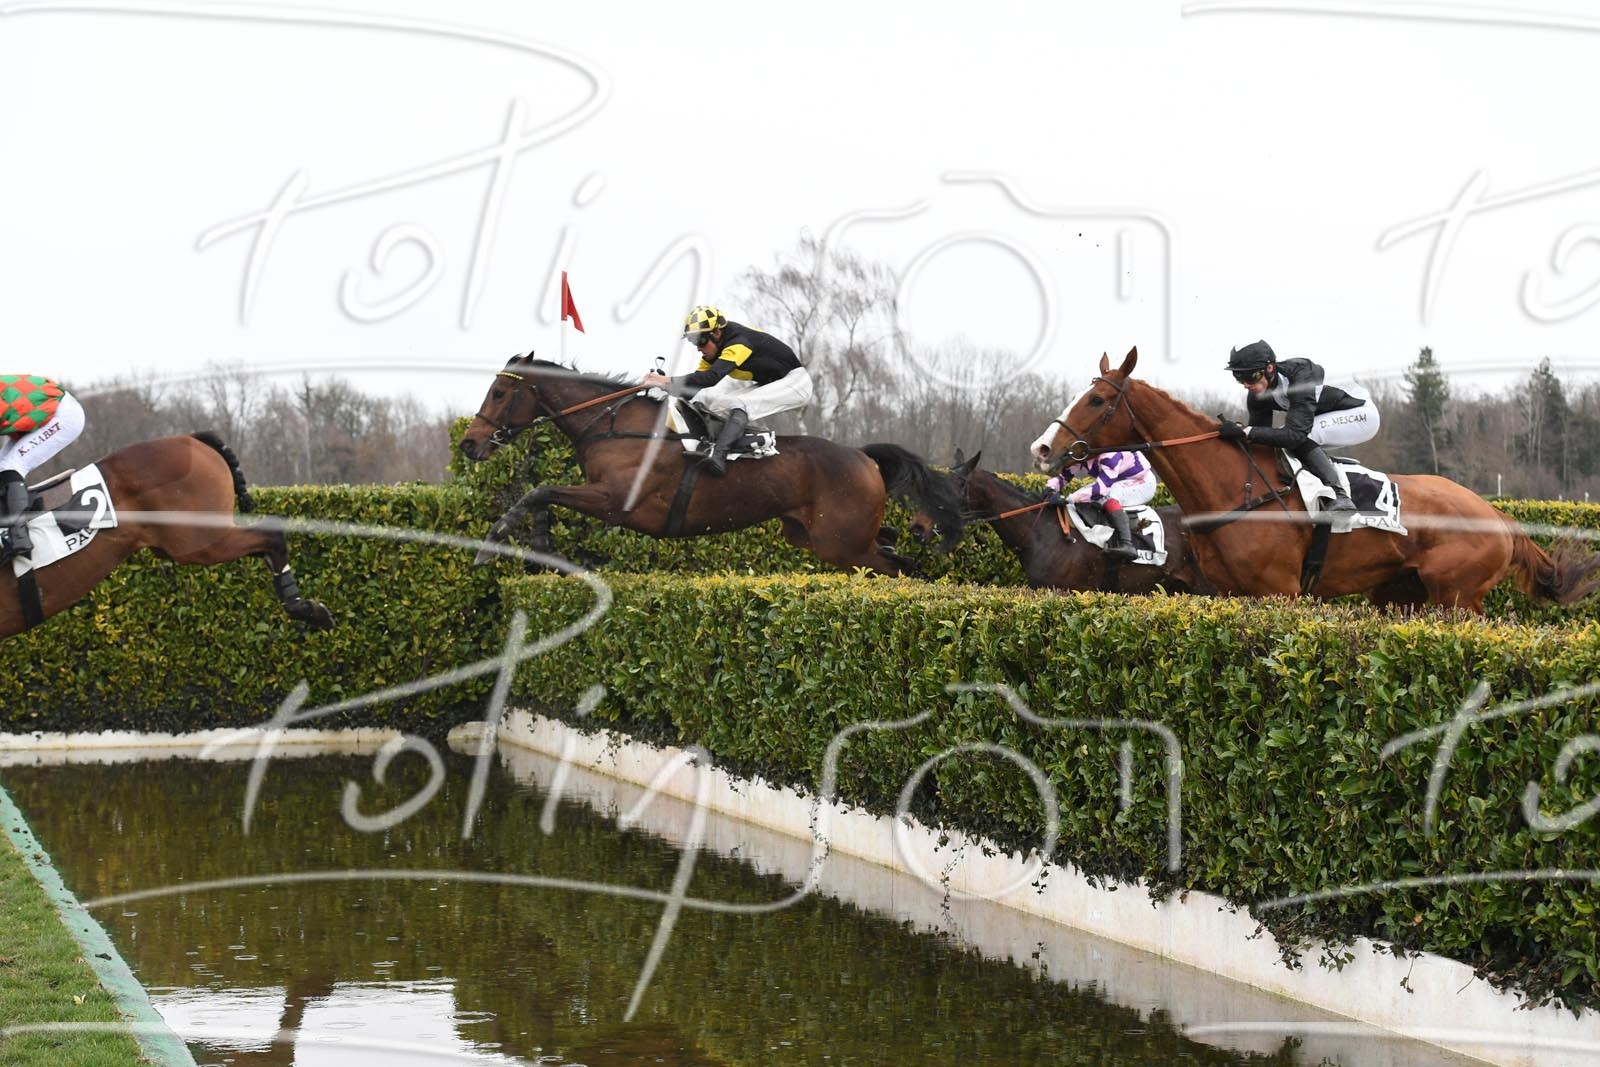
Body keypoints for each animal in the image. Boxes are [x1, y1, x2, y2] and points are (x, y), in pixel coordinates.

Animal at [459, 356, 964, 575]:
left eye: (499, 393)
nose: (469, 443)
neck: (615, 425)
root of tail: (863, 457)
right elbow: (542, 495)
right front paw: (540, 545)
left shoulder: (616, 502)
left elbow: (538, 490)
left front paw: (492, 547)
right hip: (816, 535)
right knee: (891, 546)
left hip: (841, 544)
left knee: (898, 566)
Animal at [1030, 348, 1600, 613]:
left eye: (1097, 400)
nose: (1043, 449)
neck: (1236, 489)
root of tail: (1498, 515)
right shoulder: (1231, 595)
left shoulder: (1279, 592)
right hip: (1402, 593)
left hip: (1457, 597)